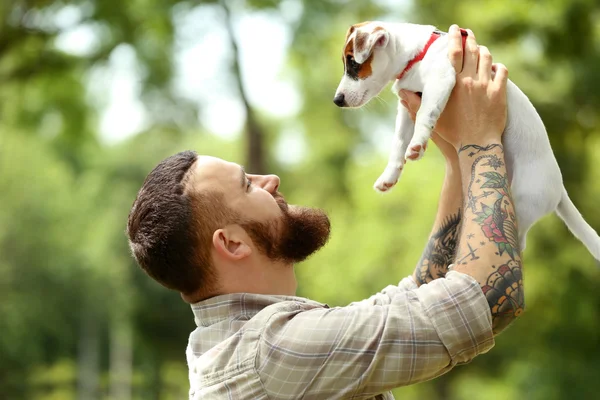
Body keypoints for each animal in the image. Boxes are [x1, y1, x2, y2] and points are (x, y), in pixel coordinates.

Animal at [332, 21, 600, 260]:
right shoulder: (406, 109)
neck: (417, 55)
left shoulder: (440, 81)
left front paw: (418, 144)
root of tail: (559, 187)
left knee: (518, 240)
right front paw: (389, 176)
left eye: (354, 63)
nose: (337, 100)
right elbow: (398, 142)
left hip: (522, 202)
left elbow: (425, 115)